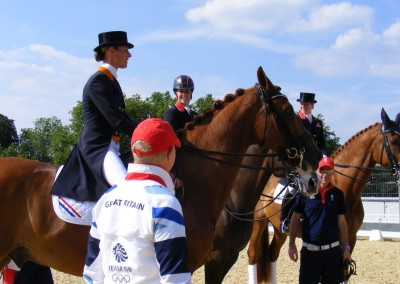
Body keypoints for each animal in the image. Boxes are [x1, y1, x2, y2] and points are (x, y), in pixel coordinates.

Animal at [247, 107, 400, 282]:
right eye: (394, 141)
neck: (343, 185)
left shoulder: (350, 237)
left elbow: (343, 272)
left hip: (279, 229)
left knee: (273, 254)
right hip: (259, 221)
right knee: (252, 254)